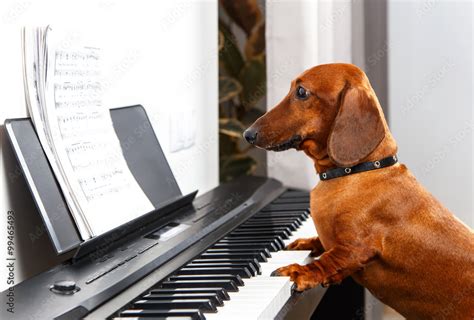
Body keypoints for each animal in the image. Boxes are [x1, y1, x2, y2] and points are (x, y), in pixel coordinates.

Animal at [244, 63, 474, 320]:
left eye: (301, 92)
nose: (247, 134)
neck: (355, 172)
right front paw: (302, 243)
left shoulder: (355, 248)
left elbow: (330, 260)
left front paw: (300, 272)